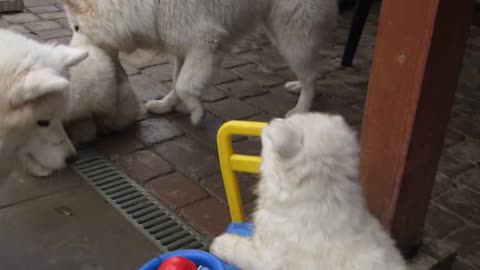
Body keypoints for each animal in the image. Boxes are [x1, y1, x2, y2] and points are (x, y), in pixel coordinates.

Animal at [59, 0, 338, 126]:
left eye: (76, 27)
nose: (72, 53)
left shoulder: (206, 44)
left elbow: (184, 85)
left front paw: (196, 112)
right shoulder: (182, 47)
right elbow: (176, 82)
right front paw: (166, 105)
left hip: (291, 34)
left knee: (311, 74)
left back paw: (301, 109)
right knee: (311, 72)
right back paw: (298, 88)